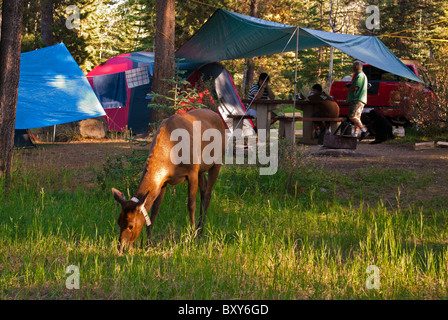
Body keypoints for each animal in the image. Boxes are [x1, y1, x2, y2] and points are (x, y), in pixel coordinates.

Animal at [110, 109, 226, 251]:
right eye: (118, 221)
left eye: (131, 225)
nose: (121, 248)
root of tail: (217, 115)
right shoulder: (164, 181)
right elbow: (155, 209)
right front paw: (147, 243)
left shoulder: (192, 170)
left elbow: (190, 205)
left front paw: (191, 238)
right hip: (201, 169)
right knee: (204, 191)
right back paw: (199, 228)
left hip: (217, 161)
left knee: (208, 193)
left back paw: (200, 231)